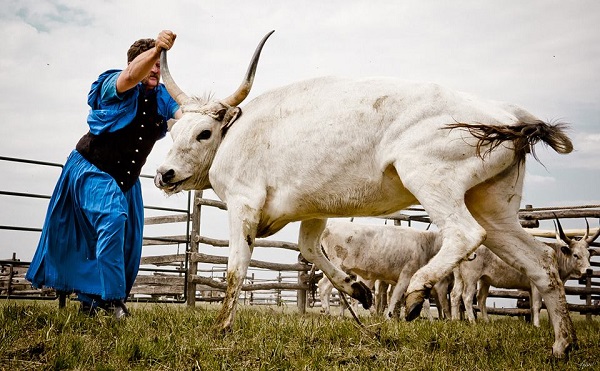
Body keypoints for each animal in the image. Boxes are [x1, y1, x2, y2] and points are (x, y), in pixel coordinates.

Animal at [155, 32, 576, 358]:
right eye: (173, 133)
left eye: (203, 133)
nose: (164, 174)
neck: (237, 134)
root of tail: (509, 114)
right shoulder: (313, 210)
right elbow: (311, 250)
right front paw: (356, 289)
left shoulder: (243, 205)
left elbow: (236, 269)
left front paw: (221, 326)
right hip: (494, 207)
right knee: (541, 263)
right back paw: (562, 344)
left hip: (431, 180)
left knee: (465, 234)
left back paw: (417, 293)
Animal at [452, 219, 596, 326]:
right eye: (576, 255)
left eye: (588, 255)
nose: (589, 270)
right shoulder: (536, 285)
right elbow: (538, 305)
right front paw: (537, 326)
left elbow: (535, 306)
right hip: (471, 278)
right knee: (467, 297)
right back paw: (472, 322)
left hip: (473, 279)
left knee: (462, 296)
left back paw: (458, 320)